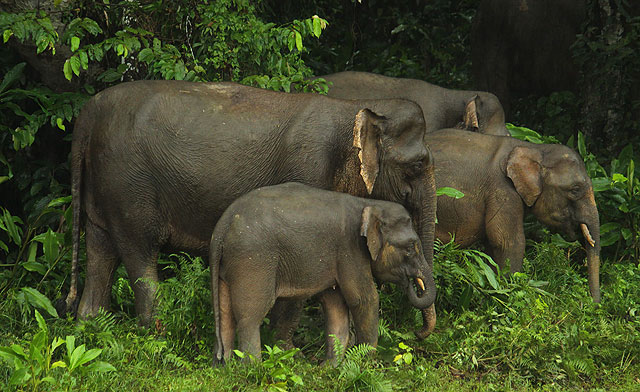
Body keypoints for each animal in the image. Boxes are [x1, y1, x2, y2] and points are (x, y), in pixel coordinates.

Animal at [63, 79, 440, 334]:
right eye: (417, 165)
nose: (419, 332)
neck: (357, 106)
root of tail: (87, 114)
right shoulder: (308, 169)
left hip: (106, 188)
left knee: (100, 252)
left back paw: (89, 326)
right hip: (130, 187)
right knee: (139, 255)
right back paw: (156, 333)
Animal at [210, 182, 436, 362]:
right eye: (411, 247)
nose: (417, 332)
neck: (368, 203)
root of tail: (223, 224)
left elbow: (335, 306)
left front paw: (329, 368)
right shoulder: (349, 250)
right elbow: (364, 299)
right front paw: (366, 363)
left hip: (229, 263)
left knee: (225, 311)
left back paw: (225, 367)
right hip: (253, 260)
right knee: (251, 315)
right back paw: (254, 369)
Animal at [424, 130, 600, 302]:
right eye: (575, 189)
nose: (593, 304)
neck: (535, 148)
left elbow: (492, 247)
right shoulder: (503, 191)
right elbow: (508, 242)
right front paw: (508, 295)